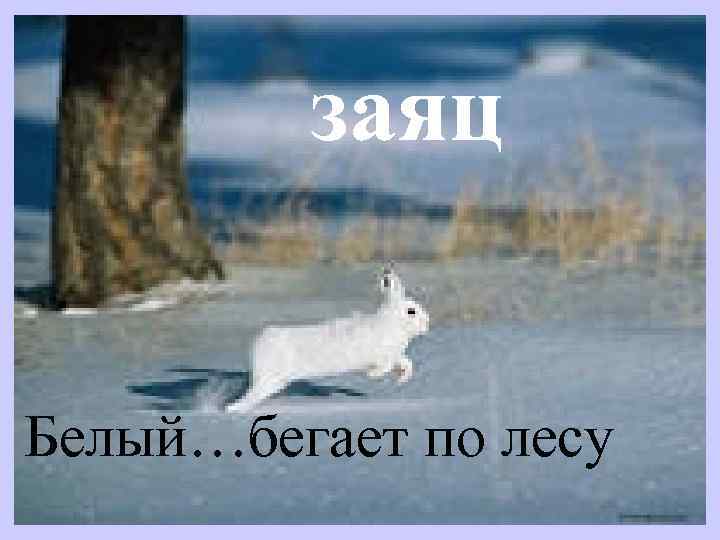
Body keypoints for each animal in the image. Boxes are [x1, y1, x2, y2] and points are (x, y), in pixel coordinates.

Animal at [225, 266, 429, 413]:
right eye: (411, 311)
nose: (427, 323)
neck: (392, 323)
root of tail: (259, 344)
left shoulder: (395, 355)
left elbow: (407, 363)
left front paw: (401, 380)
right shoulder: (381, 356)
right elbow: (384, 367)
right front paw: (372, 375)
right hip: (270, 380)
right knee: (250, 397)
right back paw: (232, 410)